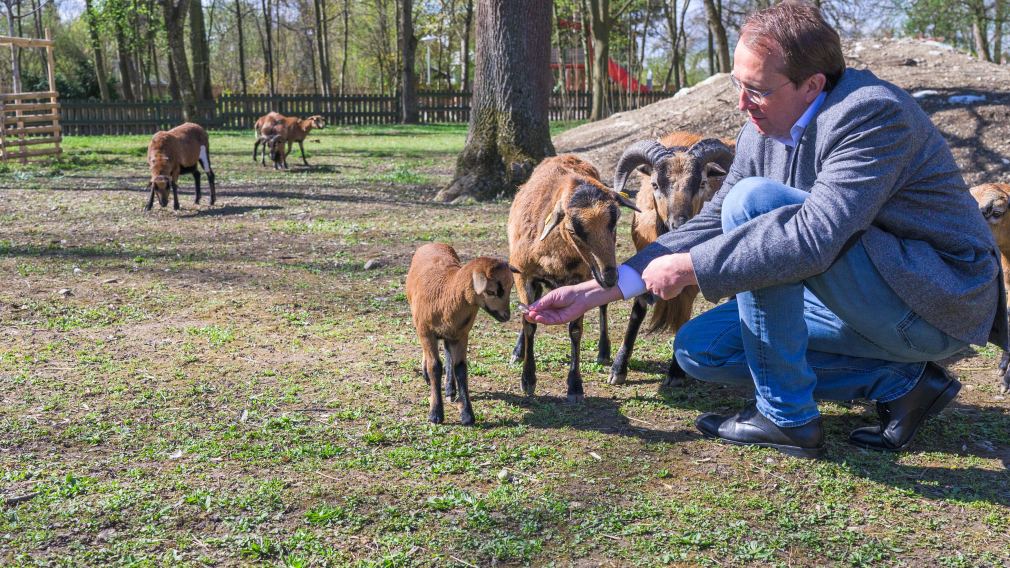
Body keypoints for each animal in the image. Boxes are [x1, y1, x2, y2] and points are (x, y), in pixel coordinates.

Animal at [505, 154, 638, 400]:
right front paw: (528, 379)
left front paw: (575, 386)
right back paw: (518, 351)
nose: (610, 278)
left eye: (614, 221)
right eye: (574, 229)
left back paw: (603, 351)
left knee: (603, 305)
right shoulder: (523, 274)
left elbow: (575, 330)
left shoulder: (581, 279)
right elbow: (529, 323)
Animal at [606, 130, 735, 384]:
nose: (680, 223)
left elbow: (684, 315)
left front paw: (676, 372)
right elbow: (637, 311)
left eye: (702, 183)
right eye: (655, 184)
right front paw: (618, 369)